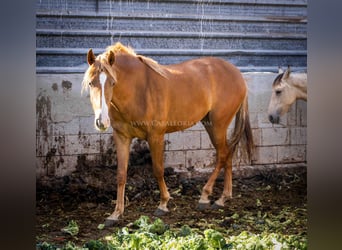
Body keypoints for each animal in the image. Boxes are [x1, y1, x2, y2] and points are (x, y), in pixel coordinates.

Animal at [82, 43, 254, 227]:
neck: (139, 90)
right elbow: (121, 174)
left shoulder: (156, 136)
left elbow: (158, 170)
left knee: (222, 155)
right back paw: (223, 198)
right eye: (91, 83)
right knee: (228, 154)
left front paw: (163, 204)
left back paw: (205, 196)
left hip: (218, 125)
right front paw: (115, 214)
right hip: (211, 125)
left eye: (113, 83)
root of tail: (237, 74)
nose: (101, 122)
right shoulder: (122, 137)